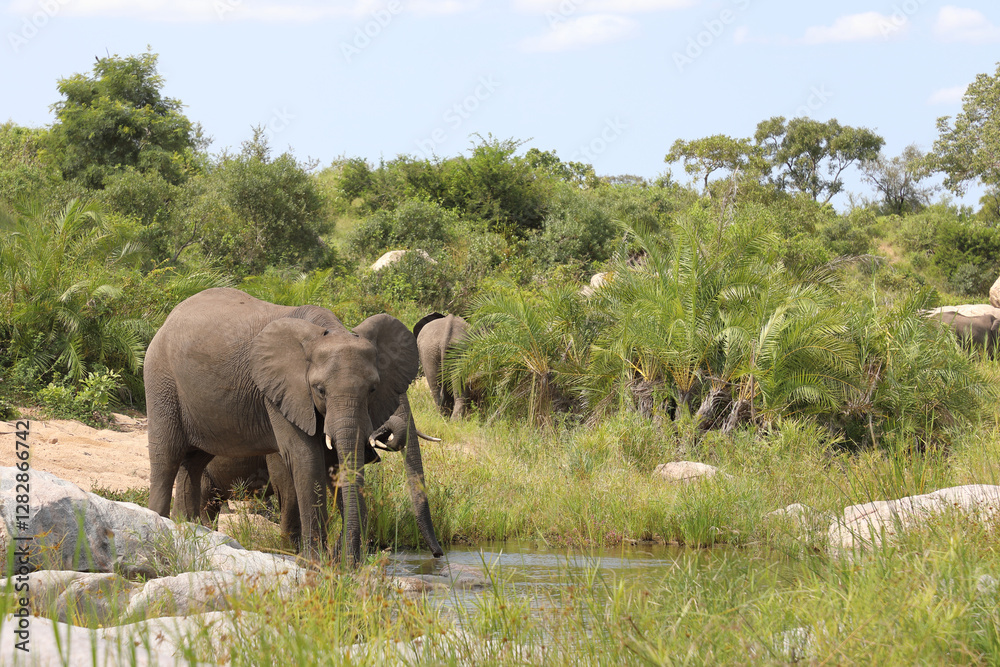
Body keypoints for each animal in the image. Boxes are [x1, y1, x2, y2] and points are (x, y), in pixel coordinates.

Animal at [145, 287, 430, 564]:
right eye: (320, 390)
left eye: (372, 389)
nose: (349, 560)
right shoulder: (281, 393)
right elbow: (306, 460)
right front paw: (314, 562)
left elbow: (334, 463)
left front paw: (341, 564)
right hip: (161, 382)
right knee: (166, 458)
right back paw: (157, 525)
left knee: (193, 463)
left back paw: (186, 529)